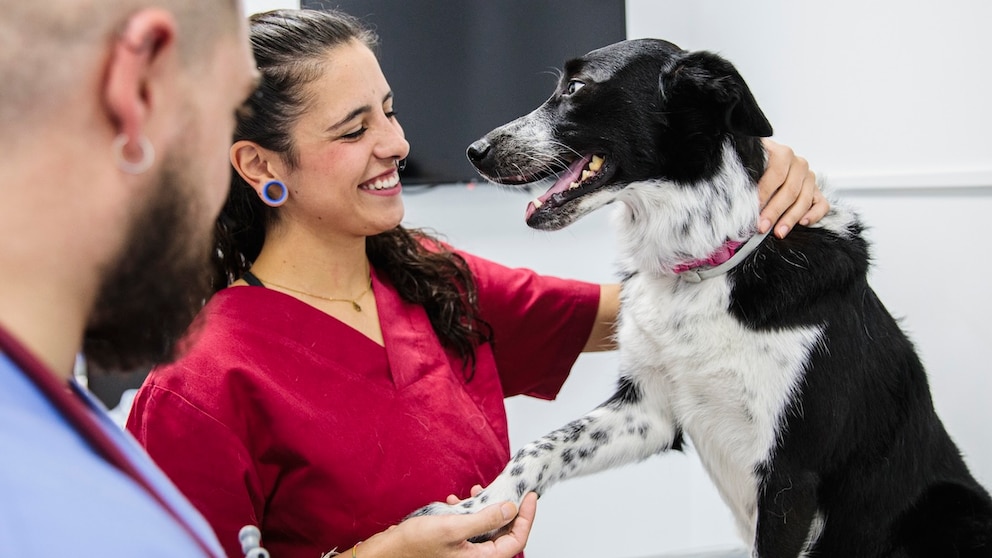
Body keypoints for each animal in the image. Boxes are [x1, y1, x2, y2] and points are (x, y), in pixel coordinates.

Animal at [410, 37, 992, 556]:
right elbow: (538, 447)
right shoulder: (649, 411)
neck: (704, 266)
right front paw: (477, 510)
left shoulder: (790, 477)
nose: (475, 151)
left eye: (575, 87)